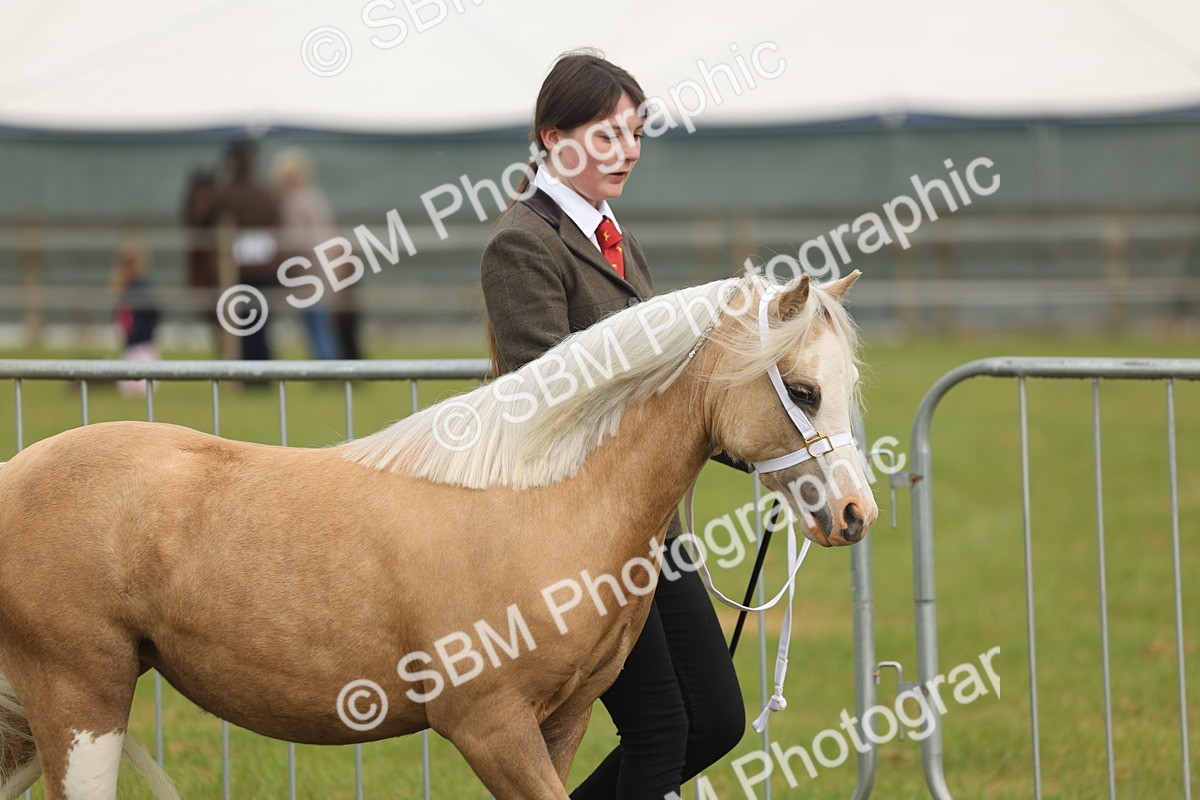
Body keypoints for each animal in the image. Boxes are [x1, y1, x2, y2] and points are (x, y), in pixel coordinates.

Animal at [0, 270, 877, 800]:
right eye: (802, 388)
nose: (855, 515)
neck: (539, 501)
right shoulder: (489, 729)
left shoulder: (561, 723)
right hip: (80, 700)